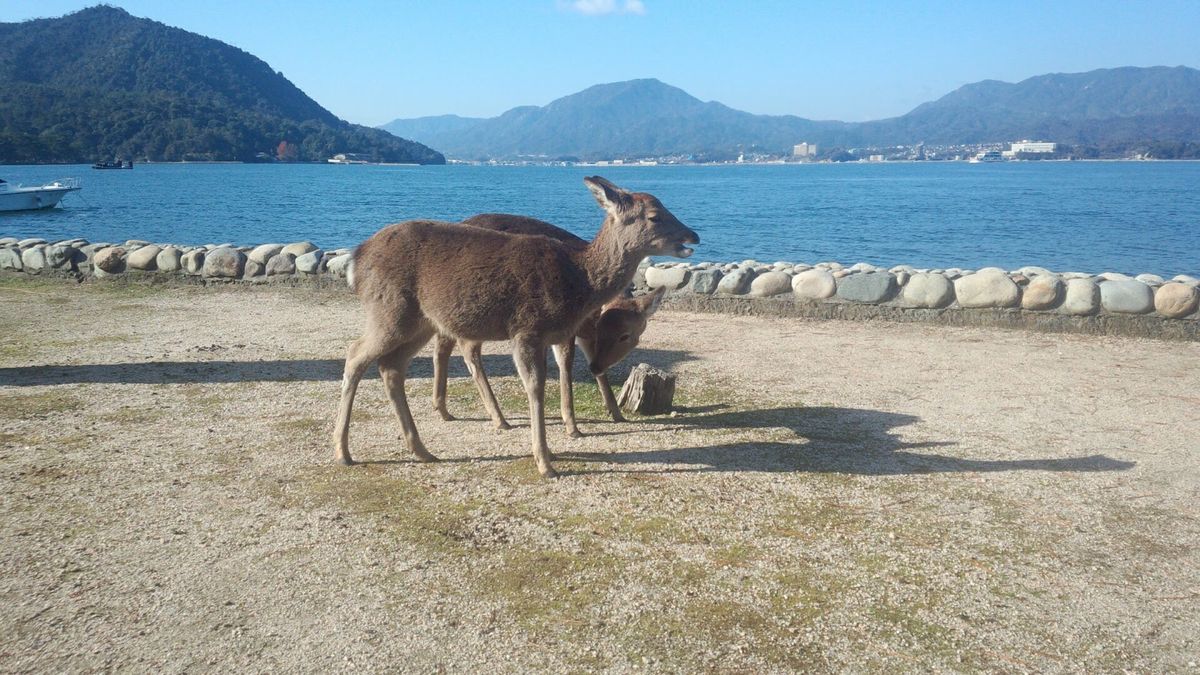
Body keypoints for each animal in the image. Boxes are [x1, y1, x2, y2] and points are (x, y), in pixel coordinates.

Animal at [431, 212, 668, 437]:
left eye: (625, 335)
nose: (596, 367)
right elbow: (565, 365)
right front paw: (572, 426)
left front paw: (616, 412)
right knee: (467, 349)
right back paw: (499, 418)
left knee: (443, 342)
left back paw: (442, 408)